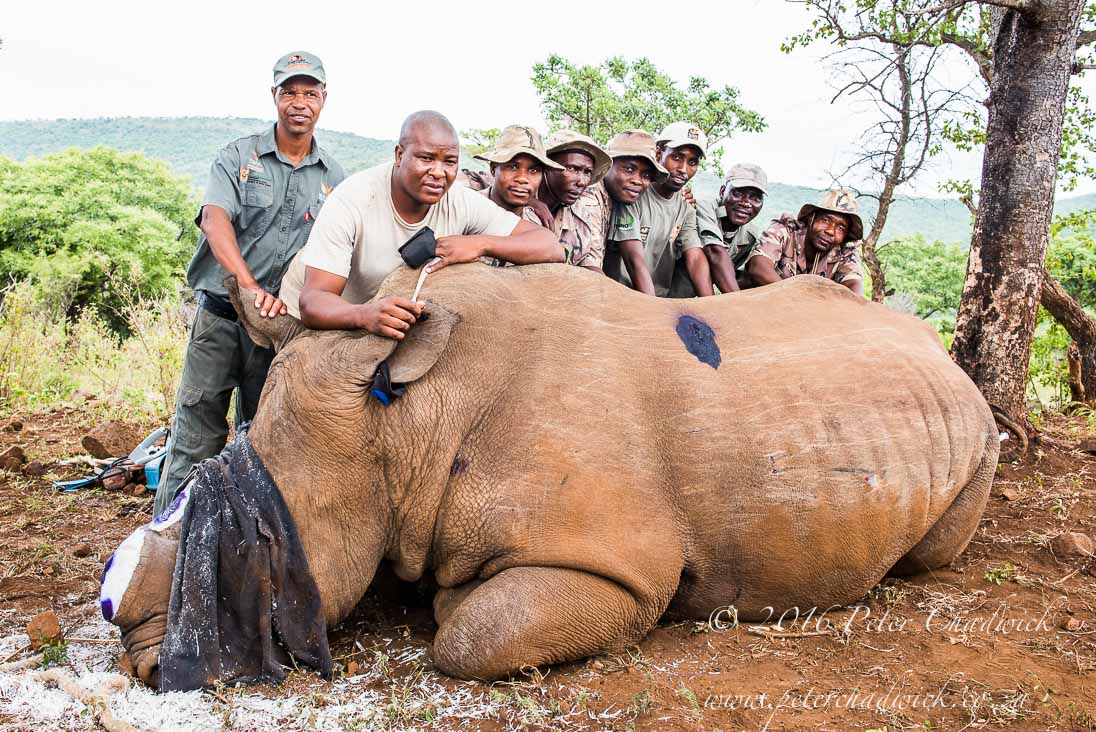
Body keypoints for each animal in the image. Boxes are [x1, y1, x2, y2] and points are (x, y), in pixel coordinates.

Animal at [101, 264, 998, 685]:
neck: (404, 418)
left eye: (254, 542)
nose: (142, 659)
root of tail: (940, 358)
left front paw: (448, 605)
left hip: (979, 431)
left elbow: (469, 637)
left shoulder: (620, 568)